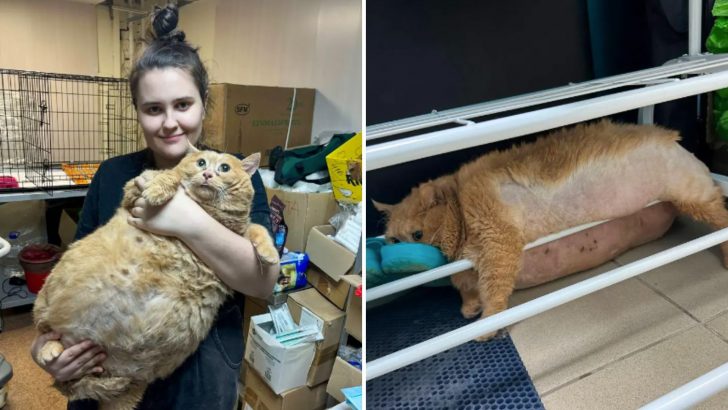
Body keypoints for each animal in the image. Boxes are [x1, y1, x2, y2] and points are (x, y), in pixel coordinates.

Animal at [30, 151, 278, 410]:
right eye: (201, 163)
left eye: (225, 168)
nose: (208, 174)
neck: (207, 210)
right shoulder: (132, 192)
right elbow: (167, 176)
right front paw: (158, 191)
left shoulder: (238, 233)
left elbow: (259, 229)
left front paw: (270, 255)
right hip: (43, 306)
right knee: (47, 334)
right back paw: (50, 352)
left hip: (125, 394)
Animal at [378, 120, 728, 342]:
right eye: (393, 239)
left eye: (418, 235)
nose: (403, 257)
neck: (460, 204)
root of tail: (673, 138)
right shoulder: (470, 266)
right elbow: (466, 288)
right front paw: (469, 306)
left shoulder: (499, 245)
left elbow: (493, 293)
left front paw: (486, 323)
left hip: (694, 197)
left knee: (722, 217)